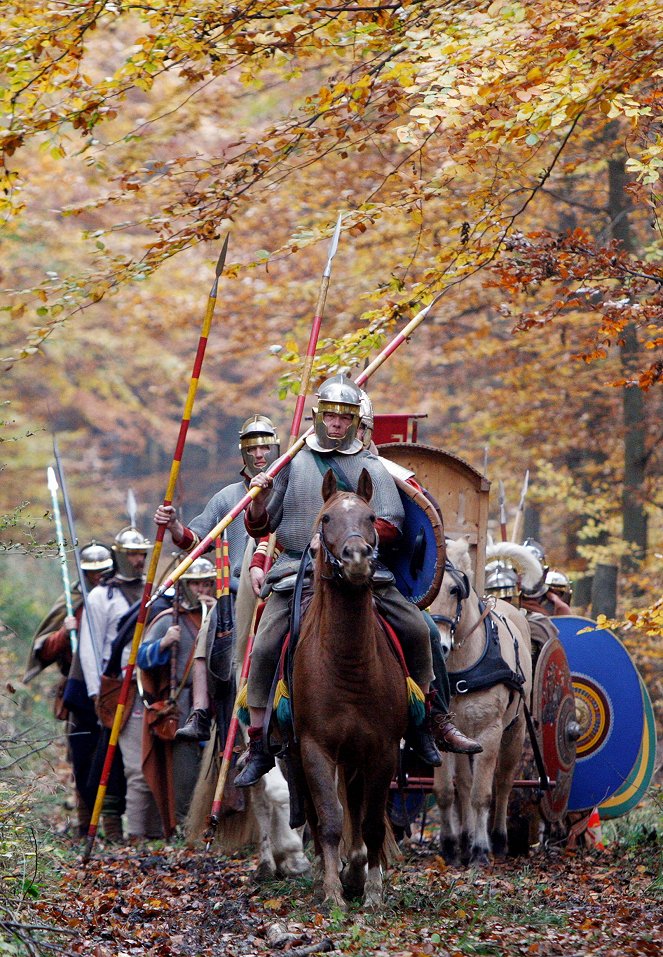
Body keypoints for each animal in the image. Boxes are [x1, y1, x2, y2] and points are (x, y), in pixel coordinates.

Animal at [294, 466, 408, 908]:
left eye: (371, 517)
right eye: (326, 519)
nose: (357, 558)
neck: (349, 666)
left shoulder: (381, 749)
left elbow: (372, 822)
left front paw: (372, 889)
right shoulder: (314, 748)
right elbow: (328, 819)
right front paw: (332, 892)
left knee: (359, 811)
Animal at [430, 536, 536, 868]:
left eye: (455, 589)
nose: (439, 645)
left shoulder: (490, 732)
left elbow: (482, 794)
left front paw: (480, 850)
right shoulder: (442, 735)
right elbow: (446, 792)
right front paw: (452, 846)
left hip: (515, 729)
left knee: (502, 782)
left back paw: (498, 840)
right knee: (463, 784)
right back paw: (465, 839)